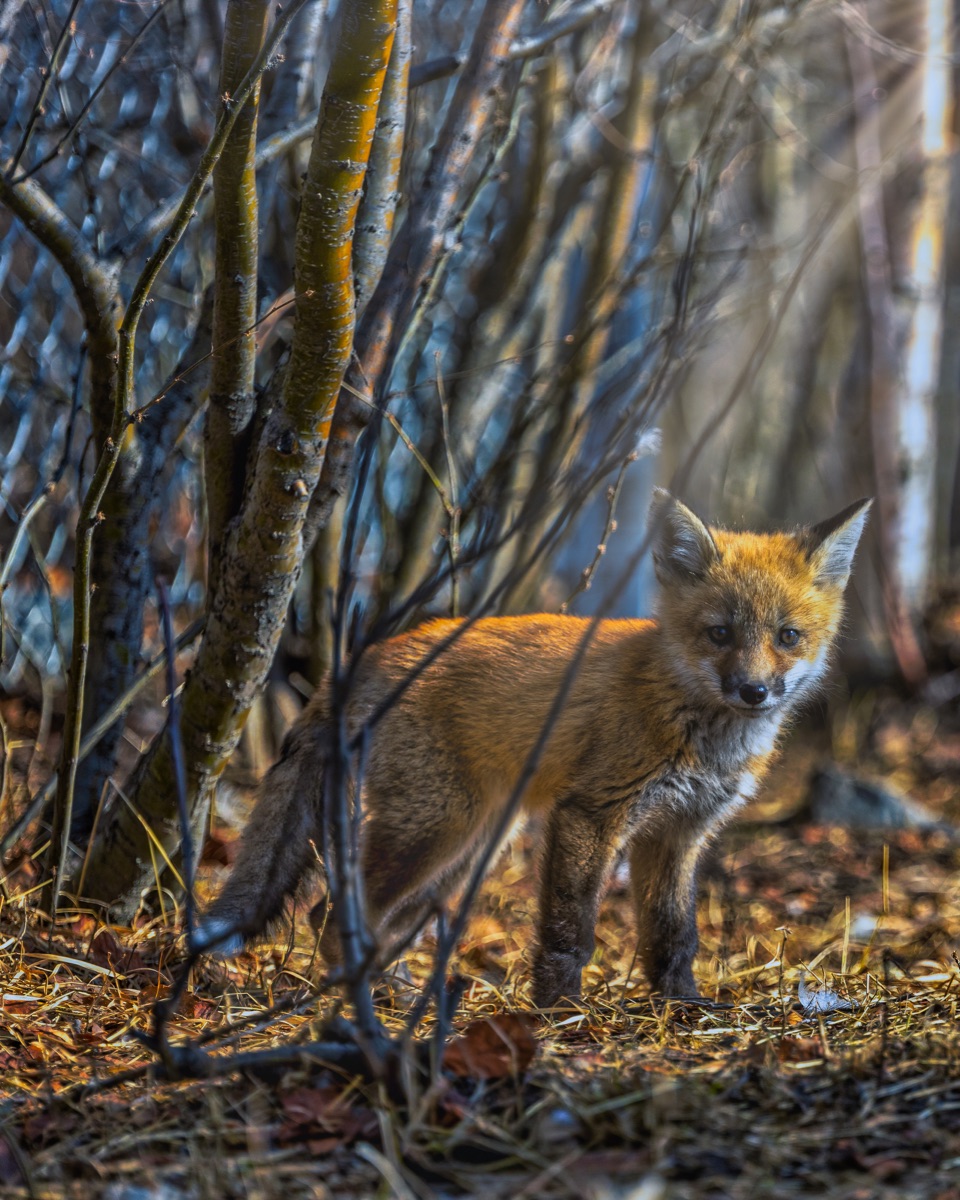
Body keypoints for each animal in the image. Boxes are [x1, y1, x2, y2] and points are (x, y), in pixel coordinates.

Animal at [196, 490, 871, 1006]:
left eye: (788, 636)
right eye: (720, 634)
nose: (753, 691)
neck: (688, 719)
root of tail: (366, 658)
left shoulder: (678, 833)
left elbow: (673, 934)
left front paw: (682, 1004)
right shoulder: (591, 813)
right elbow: (569, 928)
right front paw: (560, 1009)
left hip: (466, 851)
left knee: (334, 916)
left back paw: (390, 990)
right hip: (439, 829)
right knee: (333, 914)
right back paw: (371, 1000)